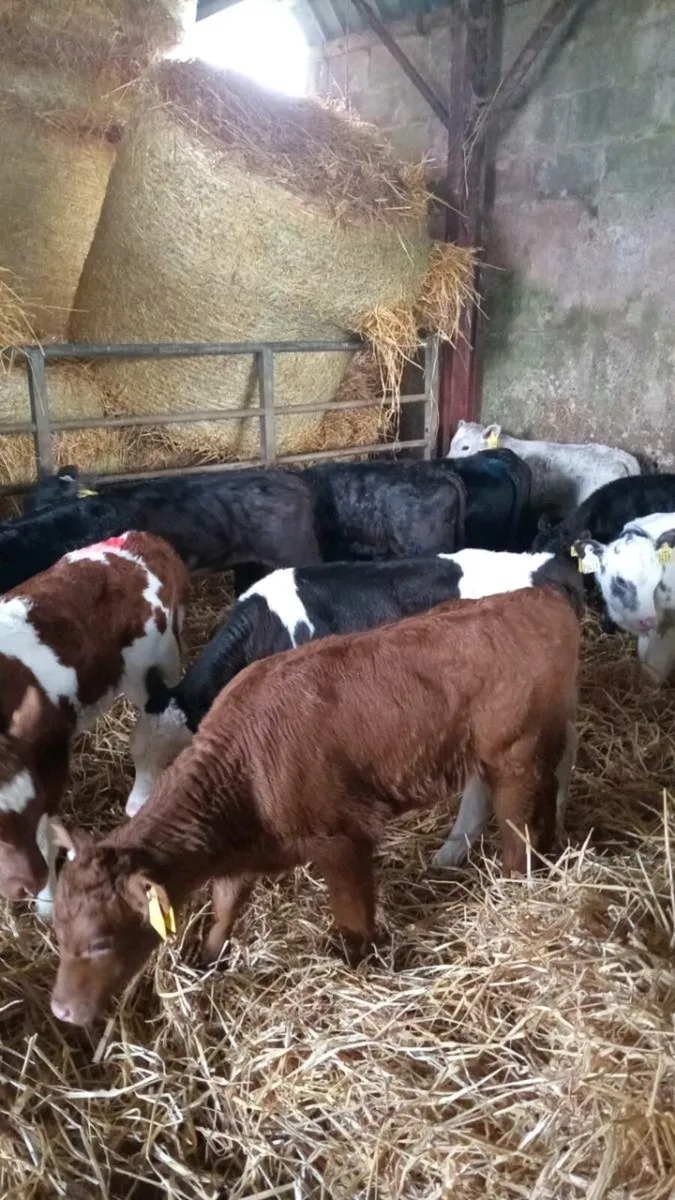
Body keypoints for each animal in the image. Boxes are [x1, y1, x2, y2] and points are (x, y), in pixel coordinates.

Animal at [0, 532, 188, 914]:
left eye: (28, 805)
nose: (26, 883)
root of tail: (145, 540)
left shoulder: (48, 761)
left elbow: (45, 834)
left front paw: (47, 905)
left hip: (155, 667)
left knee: (154, 731)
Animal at [49, 584, 581, 1026]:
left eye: (100, 941)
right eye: (59, 931)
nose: (61, 1010)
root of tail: (543, 599)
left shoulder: (342, 839)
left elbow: (352, 915)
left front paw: (358, 965)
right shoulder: (242, 852)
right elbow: (225, 905)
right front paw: (207, 957)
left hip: (514, 756)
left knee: (516, 830)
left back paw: (514, 886)